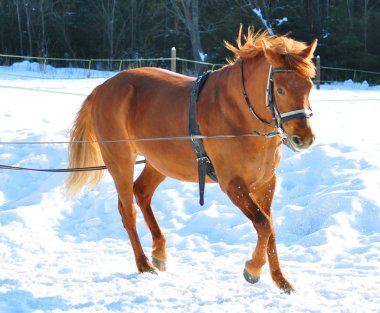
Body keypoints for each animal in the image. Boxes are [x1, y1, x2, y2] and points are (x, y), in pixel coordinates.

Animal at [66, 26, 318, 292]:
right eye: (280, 89)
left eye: (309, 86)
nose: (303, 138)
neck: (240, 113)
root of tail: (102, 88)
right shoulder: (233, 185)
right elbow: (263, 224)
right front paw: (253, 269)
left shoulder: (265, 183)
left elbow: (269, 228)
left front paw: (281, 280)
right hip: (120, 162)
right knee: (128, 211)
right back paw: (144, 263)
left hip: (159, 163)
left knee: (142, 193)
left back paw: (159, 251)